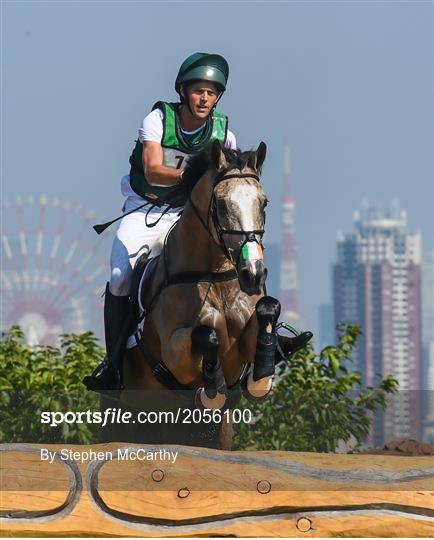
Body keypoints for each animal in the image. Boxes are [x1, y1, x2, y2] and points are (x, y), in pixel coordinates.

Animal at [108, 139, 312, 448]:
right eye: (222, 203)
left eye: (263, 202)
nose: (253, 273)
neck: (214, 275)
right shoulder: (173, 353)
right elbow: (206, 336)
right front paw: (212, 389)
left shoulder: (245, 340)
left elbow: (268, 309)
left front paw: (260, 378)